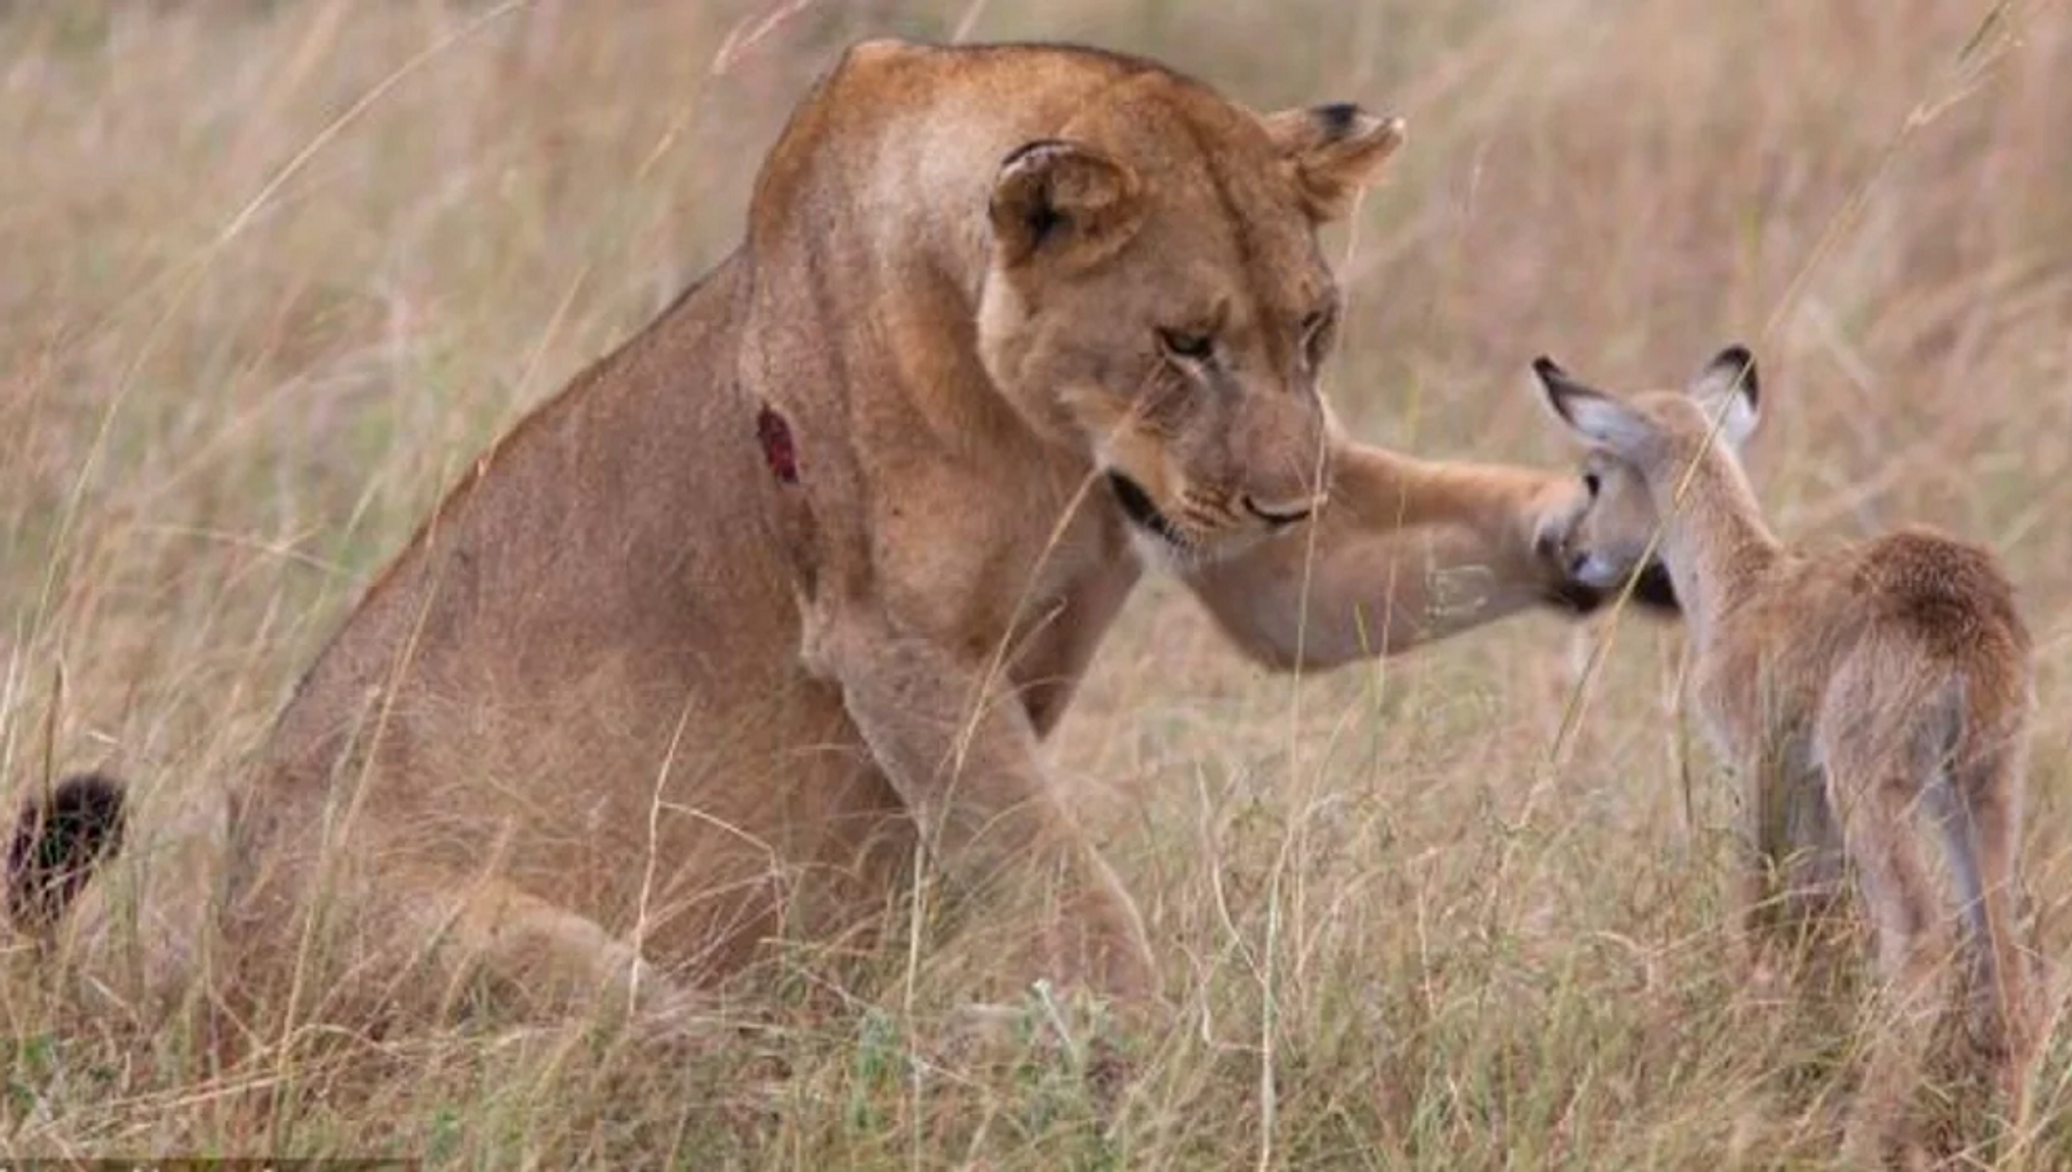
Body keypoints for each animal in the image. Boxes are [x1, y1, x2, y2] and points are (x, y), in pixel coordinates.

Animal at [1533, 347, 2030, 1167]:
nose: (1573, 552)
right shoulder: (1815, 796)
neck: (1743, 587)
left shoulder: (1761, 769)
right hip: (1982, 790)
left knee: (1922, 944)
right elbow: (1811, 925)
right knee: (2013, 961)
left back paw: (1859, 1141)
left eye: (1595, 475)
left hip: (1880, 792)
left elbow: (1756, 915)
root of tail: (1966, 616)